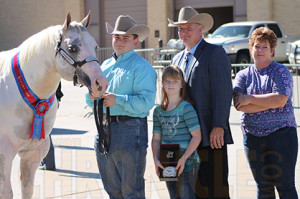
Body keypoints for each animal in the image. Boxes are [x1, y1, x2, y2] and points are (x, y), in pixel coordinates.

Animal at [0, 12, 107, 197]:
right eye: (72, 48)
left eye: (95, 46)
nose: (100, 83)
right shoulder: (4, 155)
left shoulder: (32, 155)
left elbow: (27, 189)